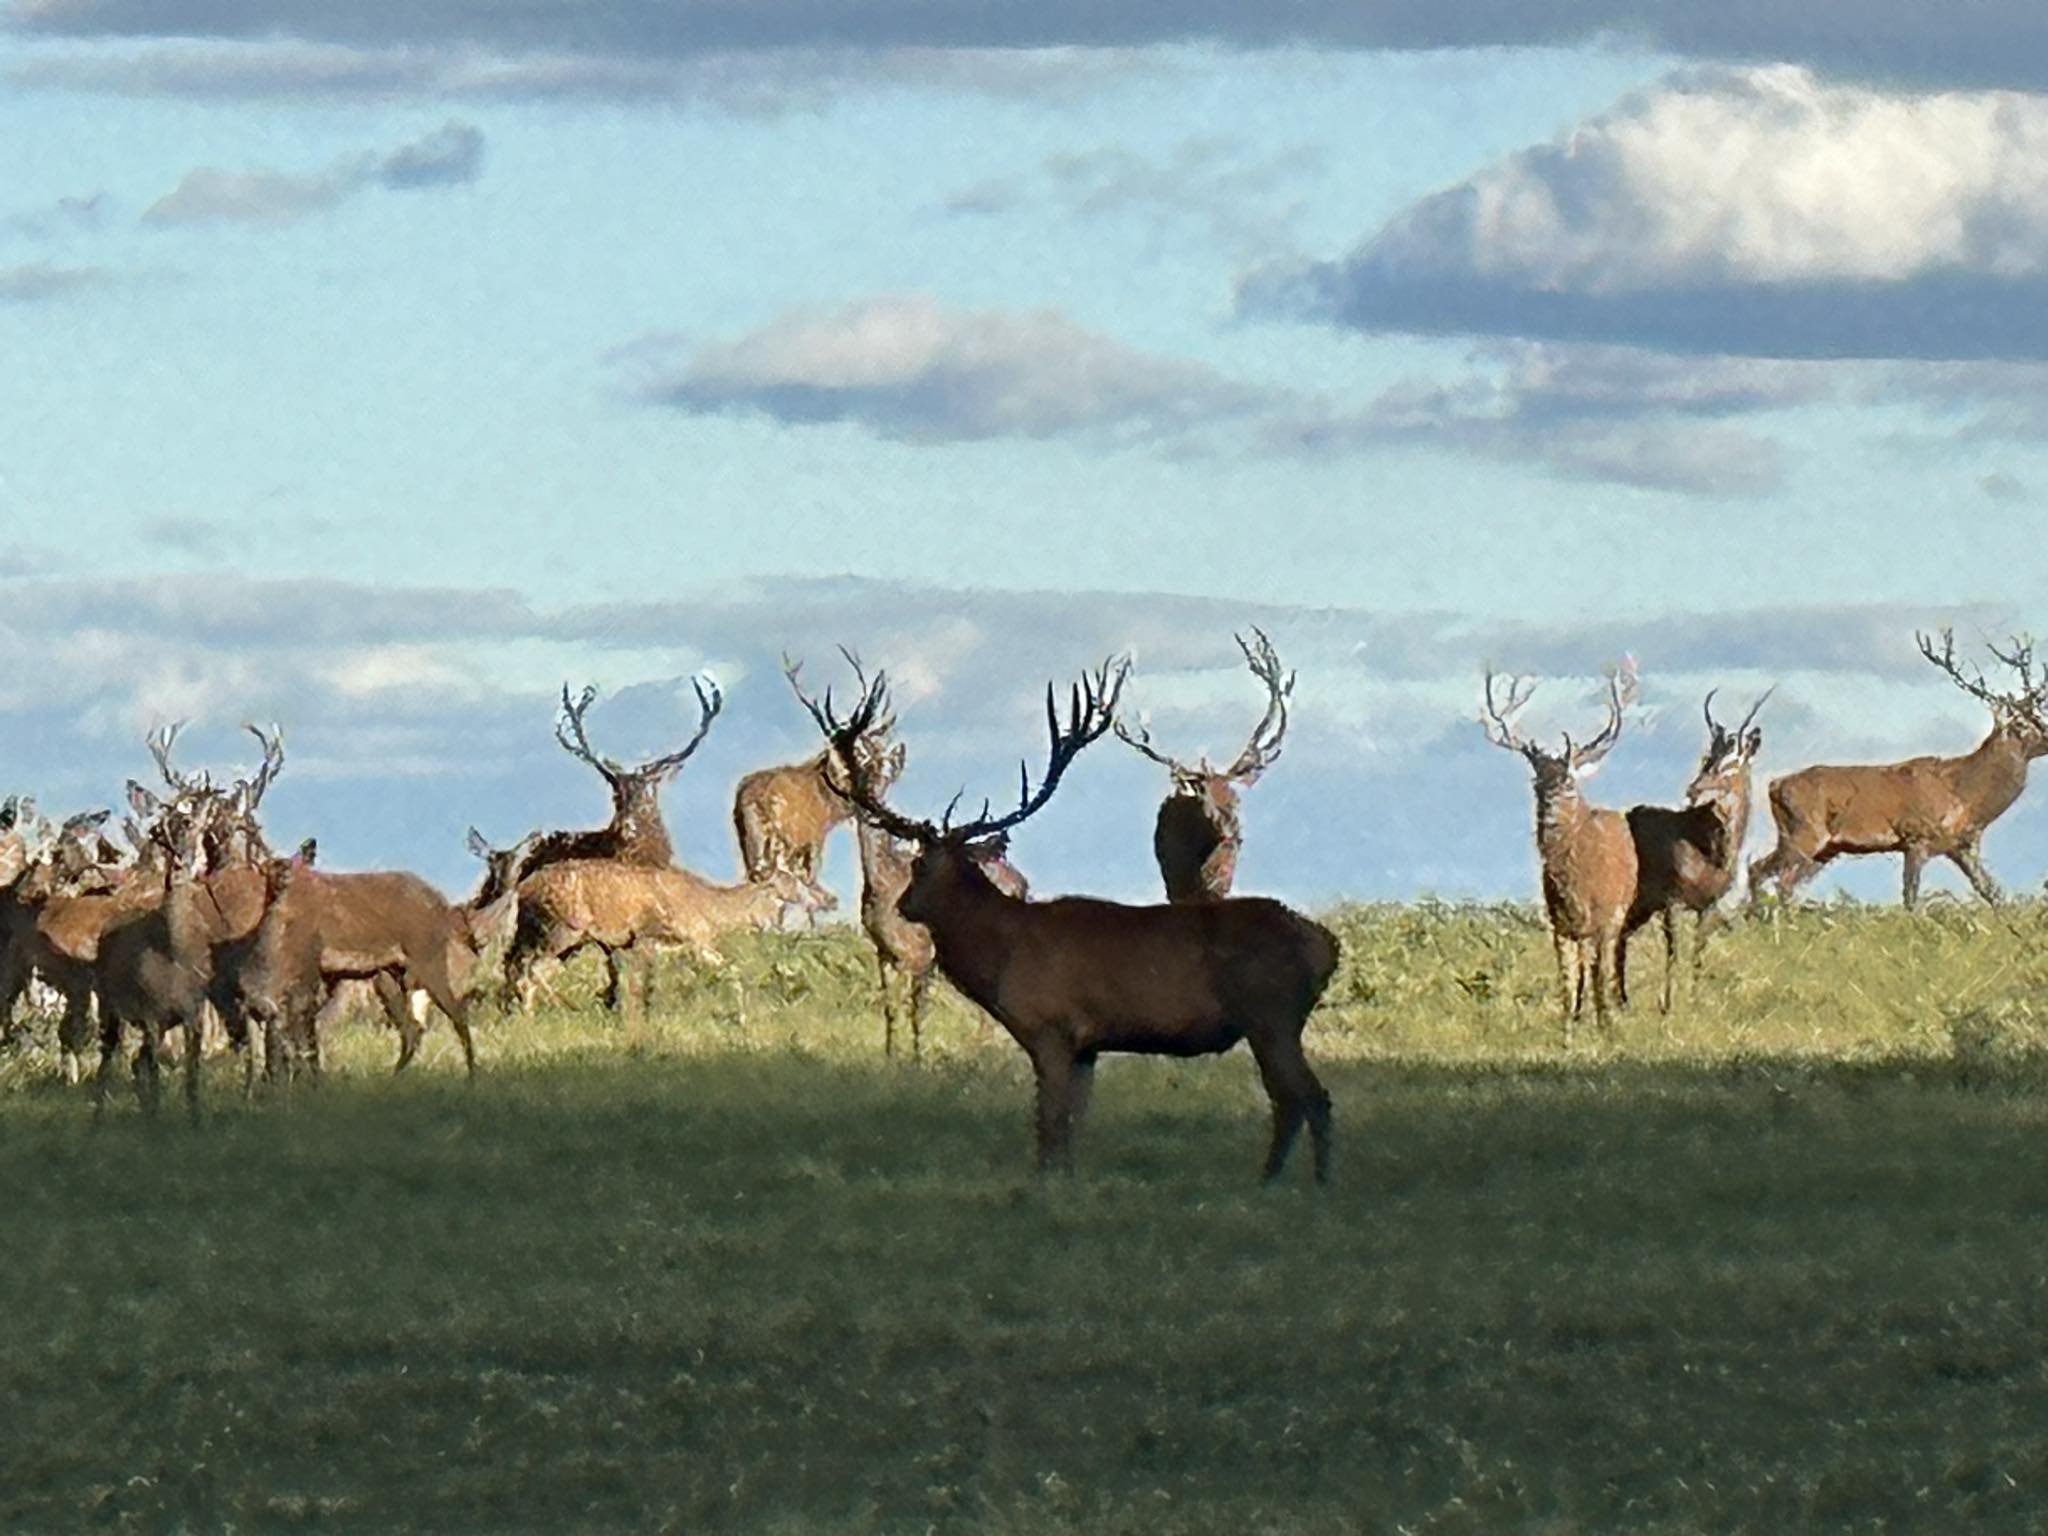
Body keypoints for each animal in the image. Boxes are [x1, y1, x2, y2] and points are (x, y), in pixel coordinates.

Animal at [1482, 661, 1640, 1044]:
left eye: (1568, 780)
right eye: (1536, 782)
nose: (1550, 810)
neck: (1577, 882)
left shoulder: (1603, 916)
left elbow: (1598, 975)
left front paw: (1607, 1029)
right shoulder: (1559, 921)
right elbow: (1568, 981)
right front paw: (1568, 1032)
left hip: (1617, 913)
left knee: (1603, 967)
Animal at [1618, 689, 1770, 1013]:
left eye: (1732, 763)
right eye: (1707, 758)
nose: (1693, 789)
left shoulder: (1706, 906)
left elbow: (1697, 953)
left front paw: (1693, 1001)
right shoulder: (1672, 904)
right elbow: (1673, 952)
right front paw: (1667, 1006)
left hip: (1642, 905)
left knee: (1620, 936)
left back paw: (1623, 1003)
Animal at [1750, 629, 2048, 909]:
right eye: (2030, 724)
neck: (1965, 797)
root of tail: (1774, 785)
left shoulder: (1963, 845)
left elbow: (1992, 893)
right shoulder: (1916, 835)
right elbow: (1910, 896)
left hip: (1820, 846)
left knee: (1766, 873)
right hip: (1805, 831)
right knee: (1775, 878)